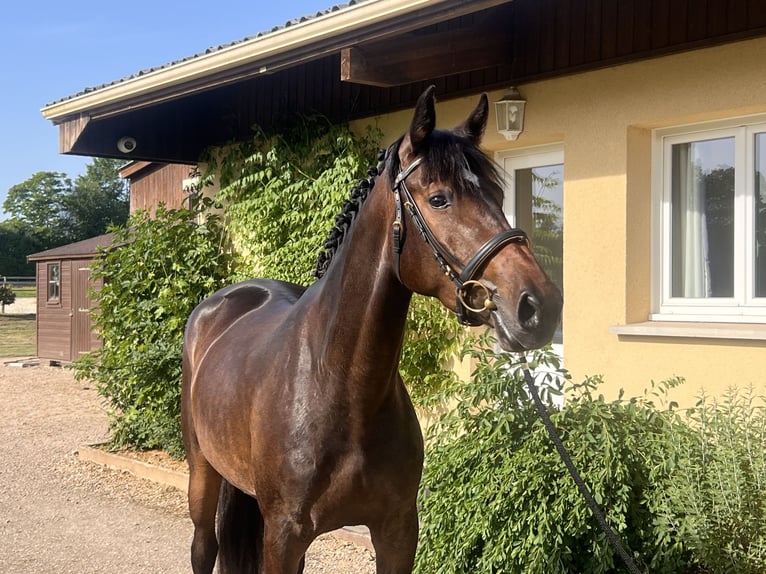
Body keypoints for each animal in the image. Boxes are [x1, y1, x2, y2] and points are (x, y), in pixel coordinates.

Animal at [181, 85, 563, 574]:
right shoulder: (283, 535)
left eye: (497, 193)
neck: (340, 385)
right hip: (202, 474)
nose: (539, 306)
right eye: (439, 199)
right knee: (203, 546)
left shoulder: (397, 531)